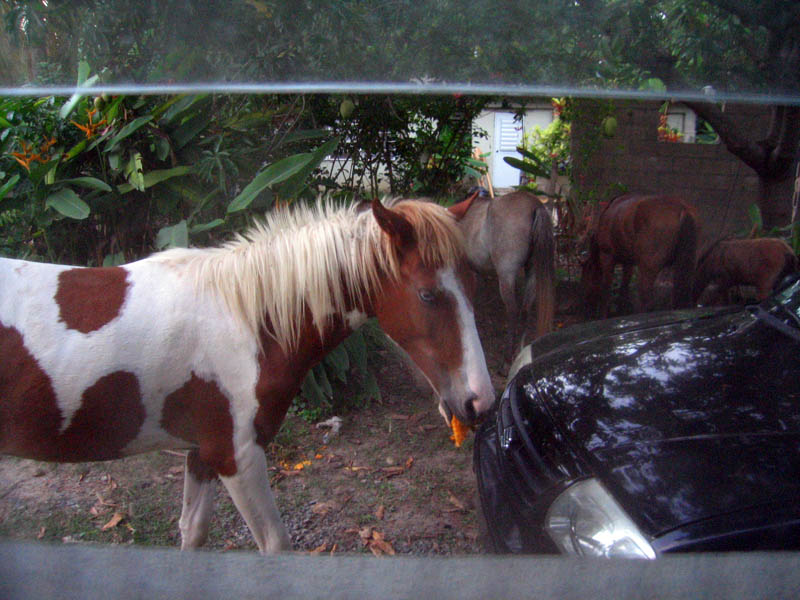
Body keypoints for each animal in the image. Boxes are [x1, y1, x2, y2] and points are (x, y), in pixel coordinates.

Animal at [1, 199, 494, 556]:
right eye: (428, 295)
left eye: (474, 287)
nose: (479, 402)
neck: (245, 323)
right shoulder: (237, 457)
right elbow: (274, 545)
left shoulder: (201, 452)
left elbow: (192, 531)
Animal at [450, 190, 556, 364]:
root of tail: (535, 206)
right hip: (532, 270)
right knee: (525, 309)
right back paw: (519, 350)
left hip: (506, 275)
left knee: (512, 310)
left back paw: (508, 354)